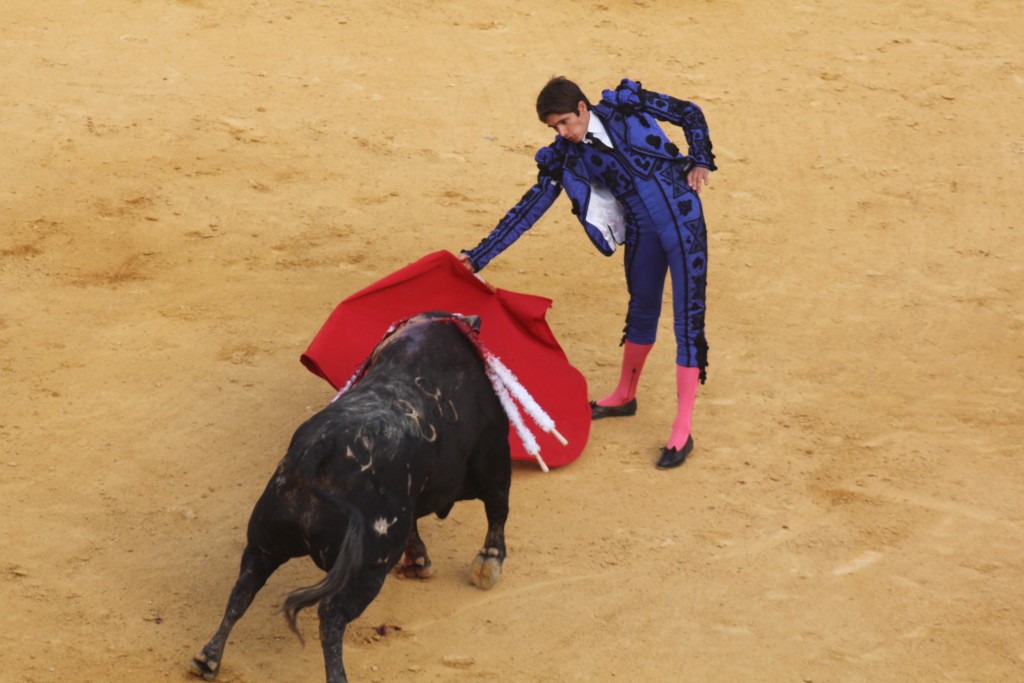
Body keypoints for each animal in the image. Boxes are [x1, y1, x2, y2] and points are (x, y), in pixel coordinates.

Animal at [190, 313, 509, 679]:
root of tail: (319, 451)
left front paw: (419, 562)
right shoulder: (495, 454)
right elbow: (498, 509)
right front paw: (488, 564)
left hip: (265, 538)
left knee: (244, 587)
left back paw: (208, 658)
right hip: (367, 567)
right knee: (330, 614)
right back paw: (337, 675)